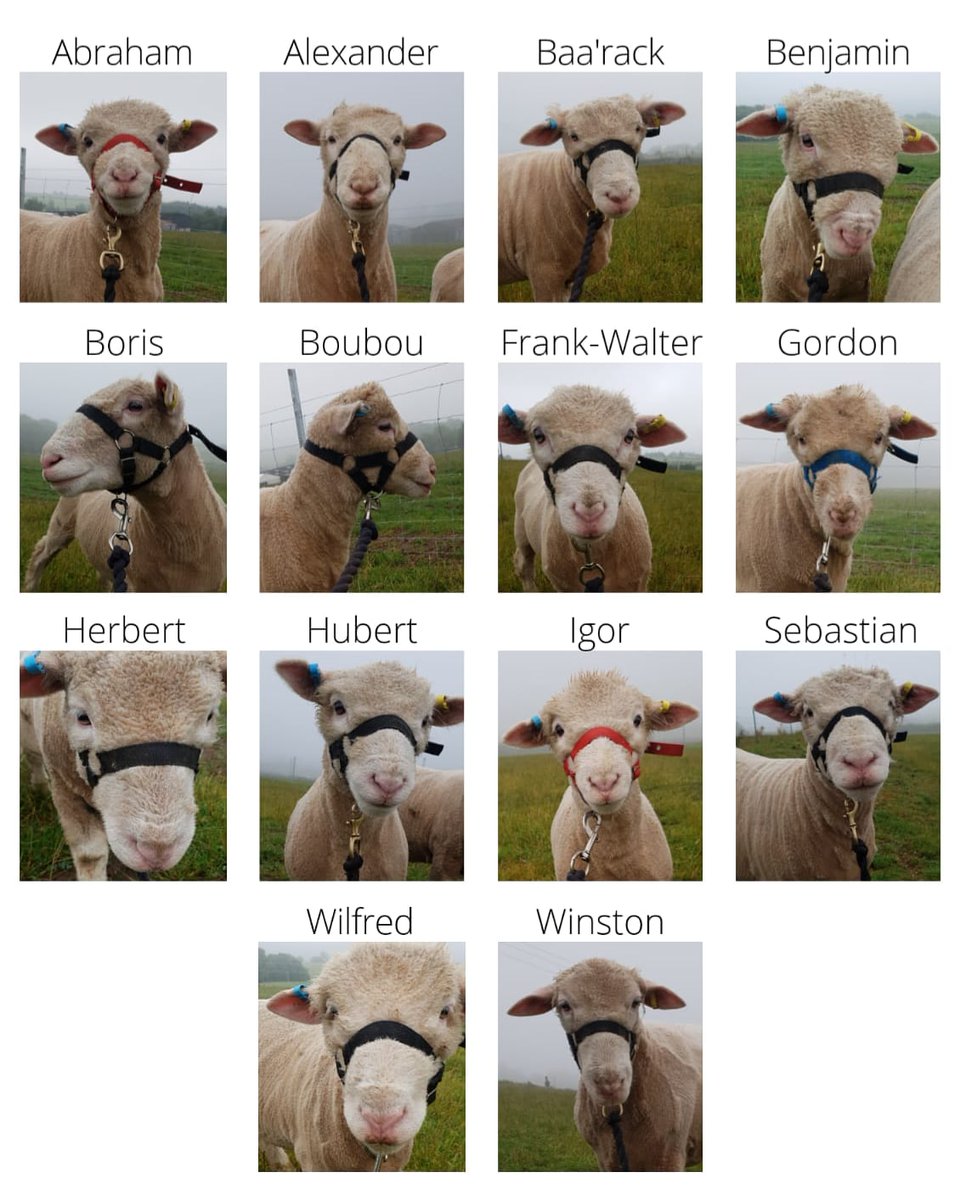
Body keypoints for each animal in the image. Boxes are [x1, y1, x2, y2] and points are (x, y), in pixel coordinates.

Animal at [20, 651, 226, 880]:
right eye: (82, 717)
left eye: (210, 716)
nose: (156, 850)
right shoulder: (64, 787)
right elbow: (90, 856)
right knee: (33, 756)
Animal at [498, 385, 686, 592]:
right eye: (538, 436)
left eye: (629, 436)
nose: (589, 513)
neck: (593, 553)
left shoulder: (637, 582)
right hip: (520, 529)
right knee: (523, 564)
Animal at [499, 96, 685, 302]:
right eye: (573, 136)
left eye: (638, 128)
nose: (619, 195)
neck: (563, 182)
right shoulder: (544, 272)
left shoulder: (568, 277)